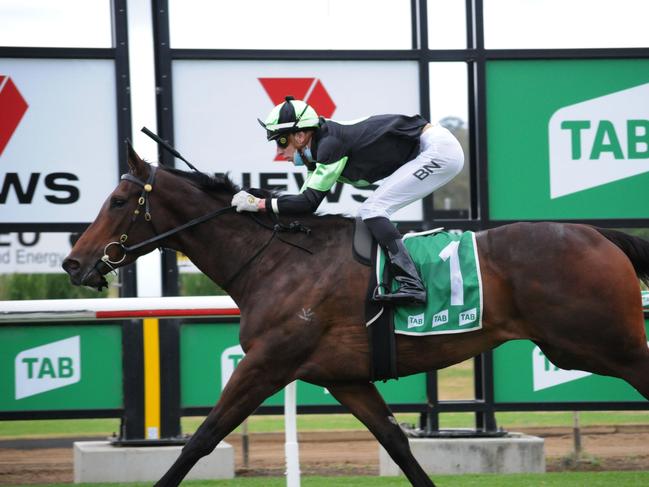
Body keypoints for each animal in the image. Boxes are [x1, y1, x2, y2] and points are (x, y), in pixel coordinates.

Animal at [64, 146, 648, 487]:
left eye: (119, 201)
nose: (74, 262)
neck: (277, 261)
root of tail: (601, 235)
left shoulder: (268, 362)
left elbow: (202, 438)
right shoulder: (343, 377)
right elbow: (397, 444)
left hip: (604, 344)